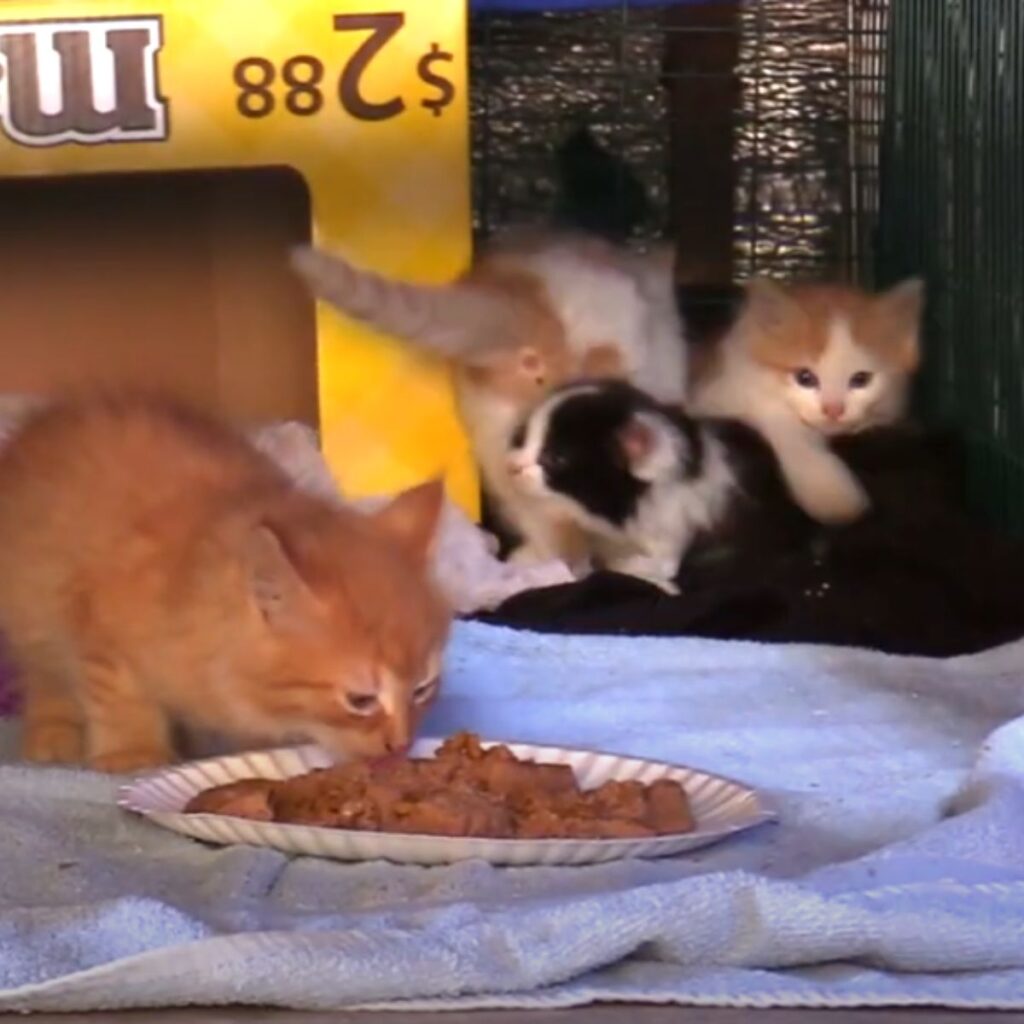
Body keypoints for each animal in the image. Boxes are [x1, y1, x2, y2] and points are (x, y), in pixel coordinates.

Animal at [0, 395, 452, 770]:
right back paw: (53, 731)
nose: (401, 745)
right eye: (360, 700)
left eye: (422, 689)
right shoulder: (97, 620)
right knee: (45, 672)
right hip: (31, 605)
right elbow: (119, 694)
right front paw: (133, 751)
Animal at [692, 276, 925, 524]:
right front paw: (829, 494)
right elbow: (778, 418)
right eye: (805, 378)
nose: (833, 409)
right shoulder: (718, 393)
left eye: (861, 379)